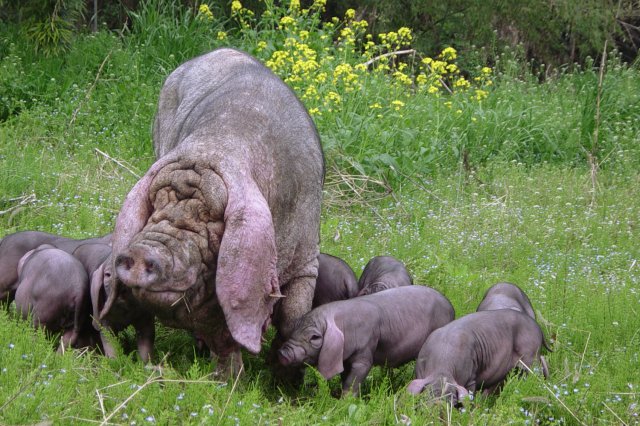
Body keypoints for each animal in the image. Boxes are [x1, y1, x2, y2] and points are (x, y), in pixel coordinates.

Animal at [107, 48, 324, 376]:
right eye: (155, 205)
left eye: (210, 218)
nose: (143, 251)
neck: (215, 147)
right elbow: (220, 330)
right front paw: (229, 380)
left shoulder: (307, 258)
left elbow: (293, 316)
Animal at [278, 286, 452, 396]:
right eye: (295, 328)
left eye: (314, 337)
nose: (283, 352)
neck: (344, 327)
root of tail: (451, 307)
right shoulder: (345, 358)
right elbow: (345, 377)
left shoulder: (366, 348)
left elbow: (355, 377)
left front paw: (345, 401)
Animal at [404, 310, 552, 402]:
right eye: (426, 397)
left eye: (452, 401)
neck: (442, 366)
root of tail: (538, 328)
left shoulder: (471, 378)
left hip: (530, 355)